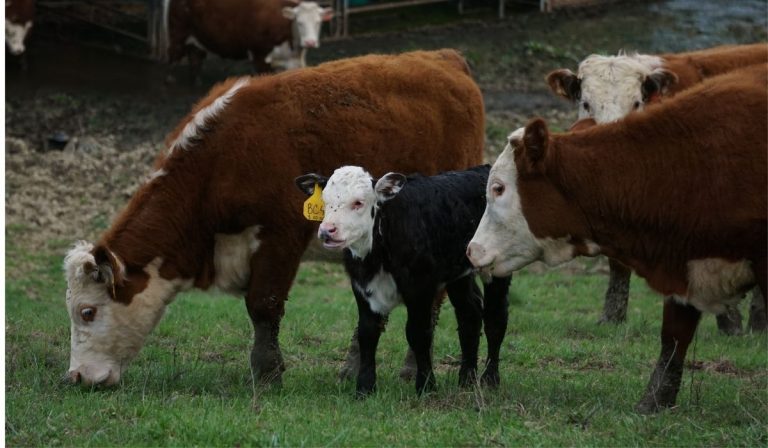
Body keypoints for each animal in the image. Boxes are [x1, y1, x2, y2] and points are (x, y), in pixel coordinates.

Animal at [63, 49, 485, 388]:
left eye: (87, 311)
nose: (77, 377)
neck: (219, 163)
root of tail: (444, 58)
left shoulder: (279, 237)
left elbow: (263, 306)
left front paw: (266, 374)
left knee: (431, 304)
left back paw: (411, 370)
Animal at [163, 0, 333, 76]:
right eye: (299, 22)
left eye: (318, 22)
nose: (310, 42)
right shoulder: (259, 55)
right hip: (177, 34)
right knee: (172, 57)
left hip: (196, 41)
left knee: (195, 57)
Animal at [295, 165, 511, 396]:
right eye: (325, 201)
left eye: (358, 202)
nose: (327, 231)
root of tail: (482, 169)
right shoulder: (362, 287)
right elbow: (367, 332)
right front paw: (364, 388)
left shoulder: (420, 288)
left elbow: (418, 333)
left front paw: (426, 386)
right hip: (459, 275)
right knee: (470, 314)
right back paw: (466, 379)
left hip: (498, 267)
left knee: (495, 318)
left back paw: (490, 379)